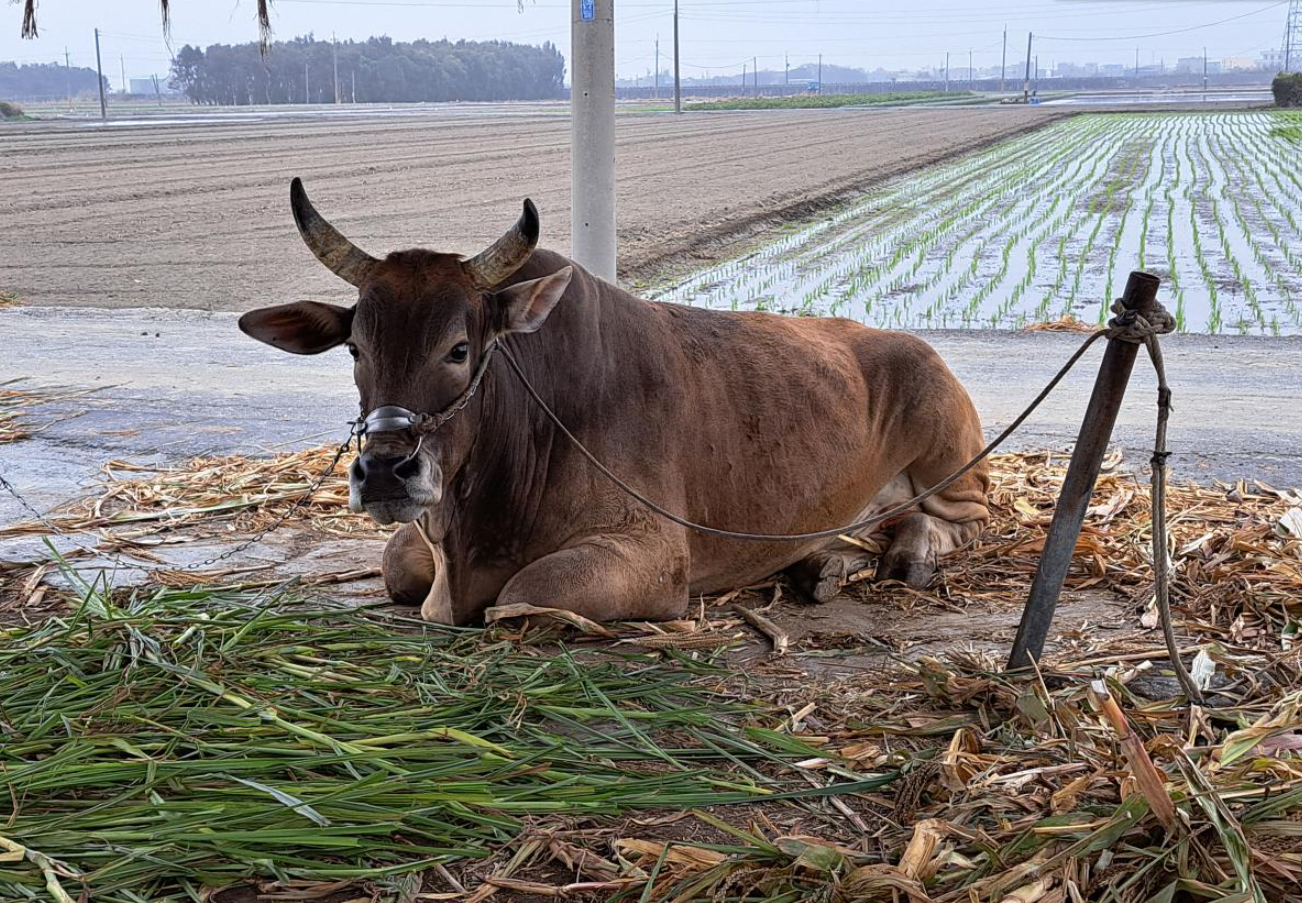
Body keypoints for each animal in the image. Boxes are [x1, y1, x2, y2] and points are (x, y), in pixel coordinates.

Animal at [239, 180, 984, 627]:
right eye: (355, 347)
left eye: (458, 348)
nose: (386, 472)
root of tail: (913, 346)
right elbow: (397, 564)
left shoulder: (649, 558)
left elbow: (521, 596)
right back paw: (820, 560)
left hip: (951, 461)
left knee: (958, 521)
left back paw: (909, 554)